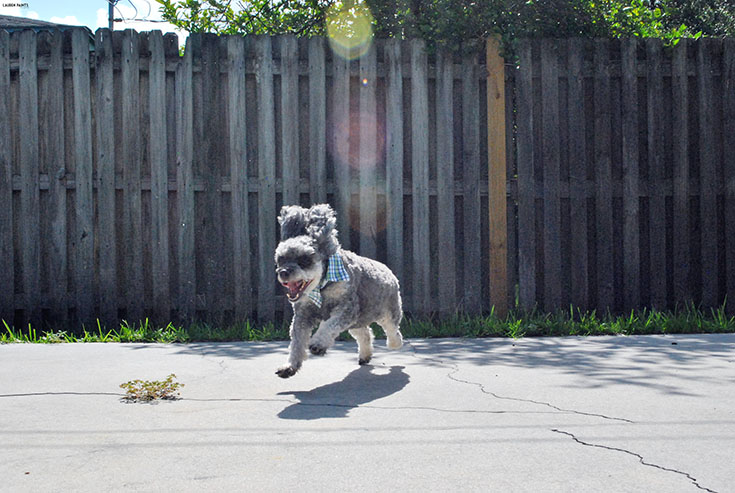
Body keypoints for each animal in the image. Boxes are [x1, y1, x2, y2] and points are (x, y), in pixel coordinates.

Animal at [274, 203, 406, 376]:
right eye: (280, 259)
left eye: (304, 260)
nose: (283, 272)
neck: (321, 288)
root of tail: (388, 271)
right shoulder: (303, 315)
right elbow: (297, 343)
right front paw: (289, 366)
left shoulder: (347, 309)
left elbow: (329, 325)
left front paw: (318, 344)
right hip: (357, 322)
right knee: (365, 334)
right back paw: (365, 356)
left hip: (388, 313)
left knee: (393, 331)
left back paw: (395, 344)